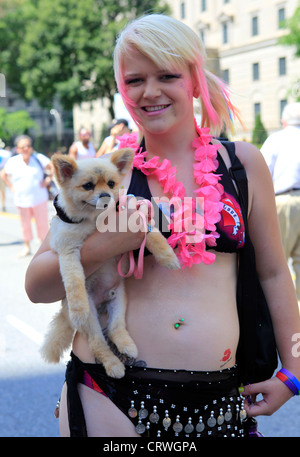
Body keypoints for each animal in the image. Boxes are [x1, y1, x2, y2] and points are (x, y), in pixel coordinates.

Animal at [41, 148, 179, 376]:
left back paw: (127, 345)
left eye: (111, 184)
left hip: (119, 300)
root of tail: (101, 302)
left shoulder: (136, 218)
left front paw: (168, 257)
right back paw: (114, 365)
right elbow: (74, 283)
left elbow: (154, 237)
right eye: (88, 186)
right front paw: (78, 308)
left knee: (116, 329)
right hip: (92, 320)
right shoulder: (68, 250)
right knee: (97, 342)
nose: (105, 196)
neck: (96, 220)